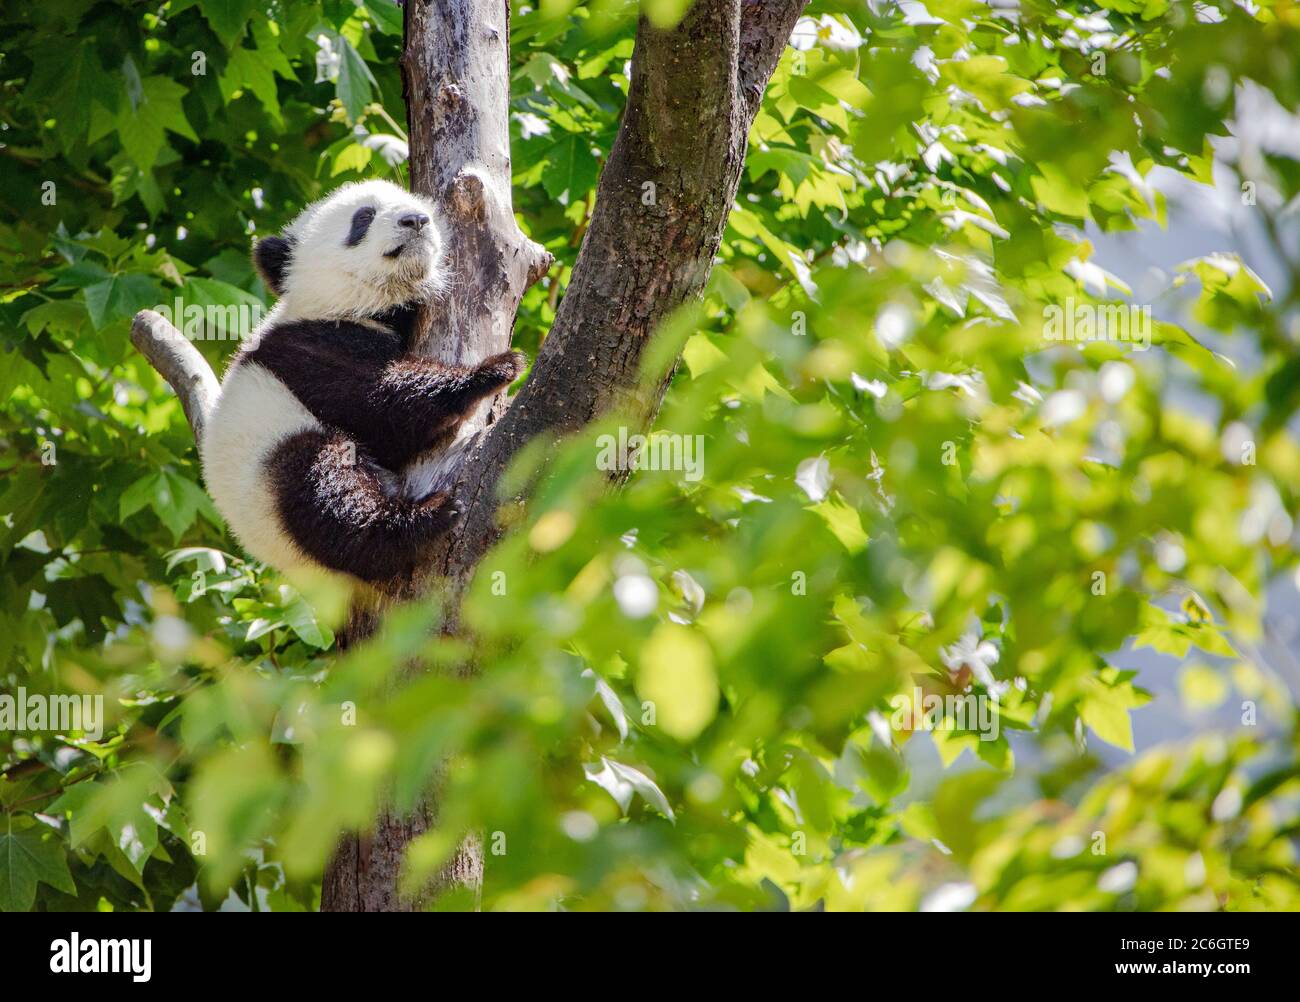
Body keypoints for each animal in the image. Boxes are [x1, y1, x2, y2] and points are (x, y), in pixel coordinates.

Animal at [200, 179, 525, 584]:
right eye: (363, 218)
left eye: (421, 209)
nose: (416, 220)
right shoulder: (307, 349)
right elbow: (381, 404)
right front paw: (494, 370)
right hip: (271, 473)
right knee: (329, 492)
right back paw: (423, 521)